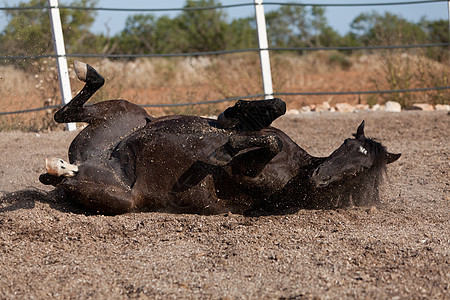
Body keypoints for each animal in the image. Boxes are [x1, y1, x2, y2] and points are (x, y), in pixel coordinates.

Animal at [40, 61, 400, 216]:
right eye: (346, 144)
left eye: (359, 172)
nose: (319, 176)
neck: (298, 168)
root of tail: (88, 161)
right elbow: (271, 113)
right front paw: (238, 116)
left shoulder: (243, 175)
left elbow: (256, 147)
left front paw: (223, 151)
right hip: (128, 113)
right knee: (66, 114)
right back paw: (85, 71)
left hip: (116, 197)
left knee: (63, 175)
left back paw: (59, 168)